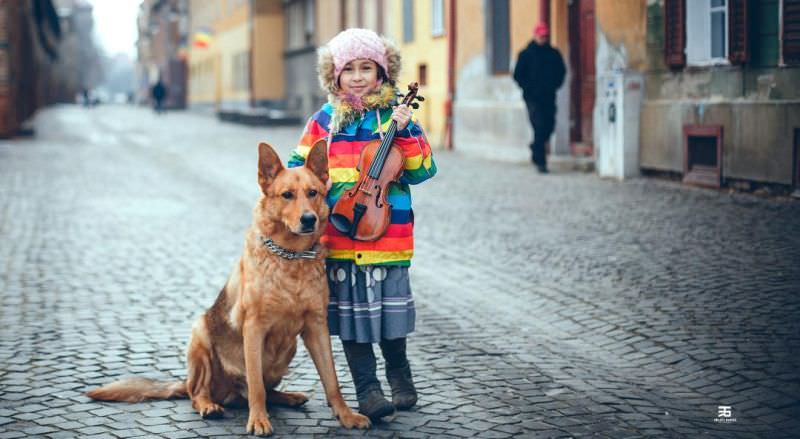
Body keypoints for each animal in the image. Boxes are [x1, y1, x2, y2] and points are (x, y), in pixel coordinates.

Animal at [87, 141, 372, 436]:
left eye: (312, 193)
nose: (309, 219)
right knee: (200, 393)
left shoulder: (317, 327)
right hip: (200, 336)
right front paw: (258, 420)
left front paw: (346, 416)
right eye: (287, 195)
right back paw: (209, 406)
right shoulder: (254, 328)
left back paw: (288, 397)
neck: (290, 258)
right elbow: (256, 386)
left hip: (288, 349)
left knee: (263, 392)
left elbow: (332, 381)